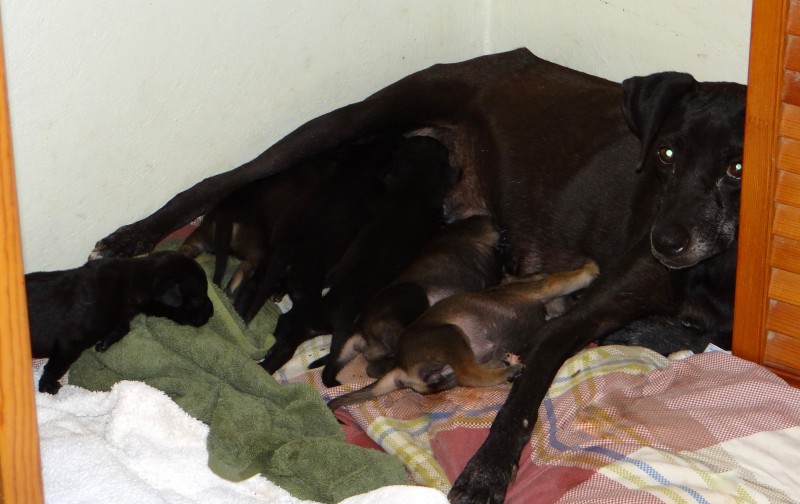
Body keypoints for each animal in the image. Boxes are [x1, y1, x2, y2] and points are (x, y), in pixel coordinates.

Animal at [27, 251, 213, 394]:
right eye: (199, 298)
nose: (212, 312)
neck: (137, 279)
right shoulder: (70, 341)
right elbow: (57, 365)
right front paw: (47, 383)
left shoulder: (120, 317)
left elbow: (124, 326)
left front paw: (105, 342)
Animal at [327, 261, 599, 411]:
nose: (576, 301)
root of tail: (399, 366)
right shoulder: (542, 288)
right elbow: (564, 279)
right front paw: (589, 270)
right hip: (450, 333)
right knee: (471, 374)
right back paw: (508, 370)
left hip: (446, 376)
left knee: (468, 372)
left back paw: (501, 361)